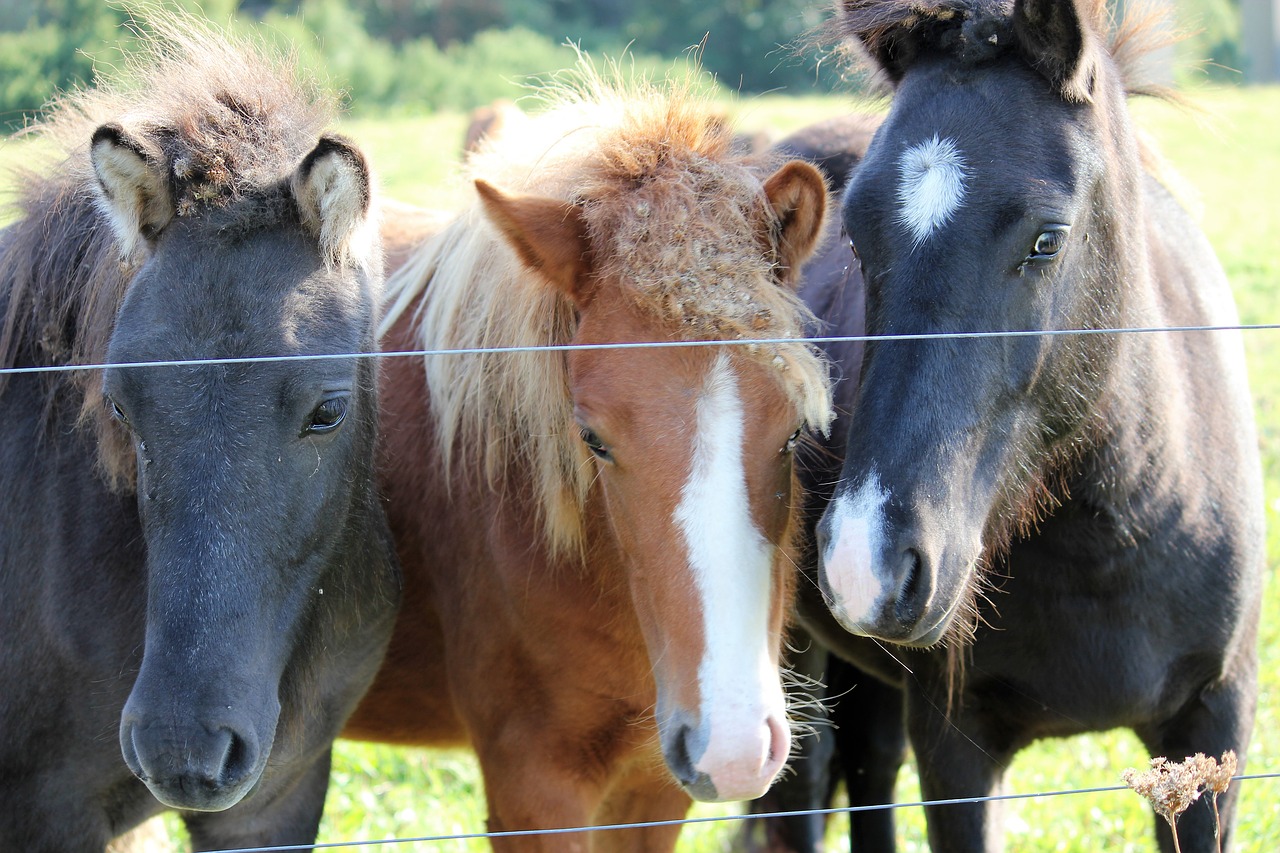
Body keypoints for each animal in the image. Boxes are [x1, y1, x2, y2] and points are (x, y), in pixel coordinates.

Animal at [773, 1, 1264, 850]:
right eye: (857, 237)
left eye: (1048, 237)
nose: (867, 562)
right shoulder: (957, 746)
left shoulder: (1214, 734)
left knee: (868, 770)